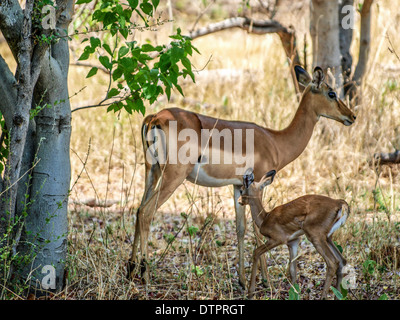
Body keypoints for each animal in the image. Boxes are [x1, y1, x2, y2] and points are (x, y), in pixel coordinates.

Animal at [239, 170, 348, 300]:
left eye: (241, 190)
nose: (239, 201)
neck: (265, 217)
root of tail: (339, 202)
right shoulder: (293, 242)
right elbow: (292, 271)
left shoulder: (276, 240)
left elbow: (256, 252)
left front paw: (250, 293)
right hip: (327, 238)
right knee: (342, 261)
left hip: (315, 237)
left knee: (332, 263)